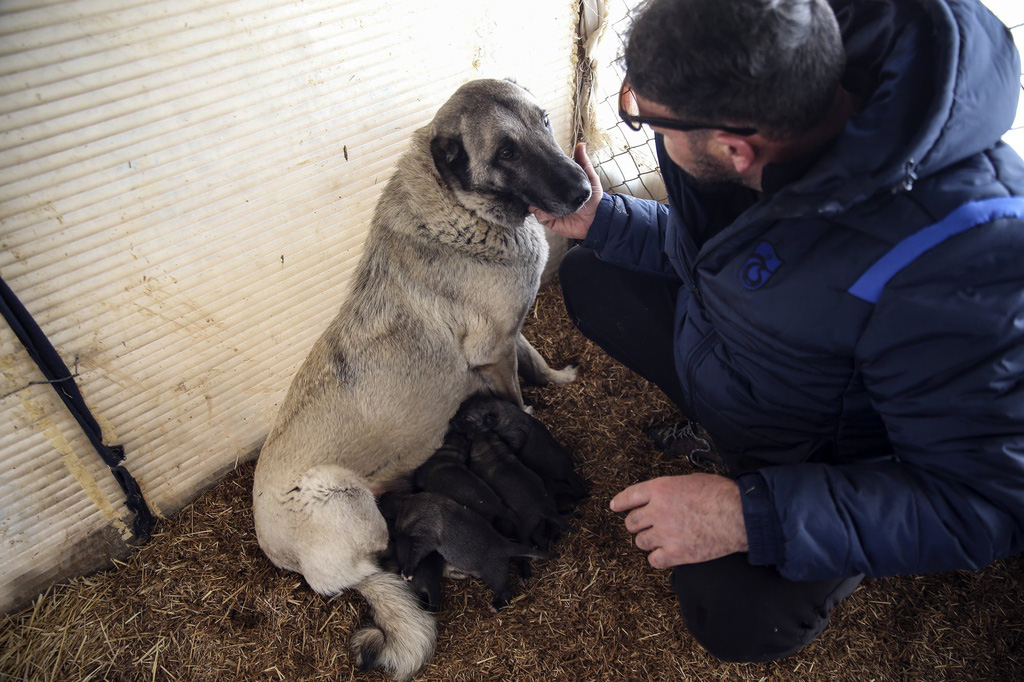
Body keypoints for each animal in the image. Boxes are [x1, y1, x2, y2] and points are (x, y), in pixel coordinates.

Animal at [387, 491, 557, 606]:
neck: (409, 504)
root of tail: (505, 545)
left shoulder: (426, 538)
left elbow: (415, 553)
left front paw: (407, 573)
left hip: (494, 574)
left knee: (505, 591)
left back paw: (495, 606)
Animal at [452, 391, 589, 507]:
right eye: (461, 405)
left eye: (466, 418)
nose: (451, 420)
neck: (501, 412)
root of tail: (567, 468)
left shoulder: (516, 437)